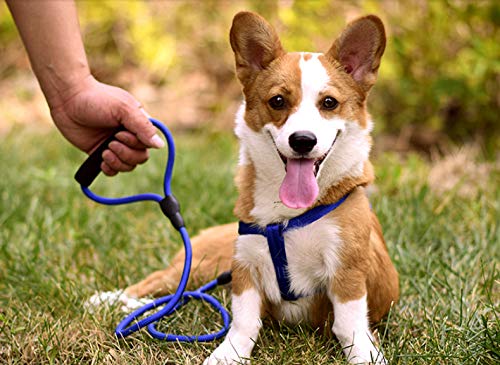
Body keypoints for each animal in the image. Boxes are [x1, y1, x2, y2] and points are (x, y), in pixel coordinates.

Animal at [90, 11, 398, 364]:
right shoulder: (246, 266)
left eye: (329, 102)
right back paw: (112, 300)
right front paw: (229, 353)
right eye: (277, 101)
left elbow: (349, 326)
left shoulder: (346, 270)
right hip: (203, 266)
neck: (288, 216)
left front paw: (365, 354)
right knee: (162, 285)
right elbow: (243, 322)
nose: (303, 141)